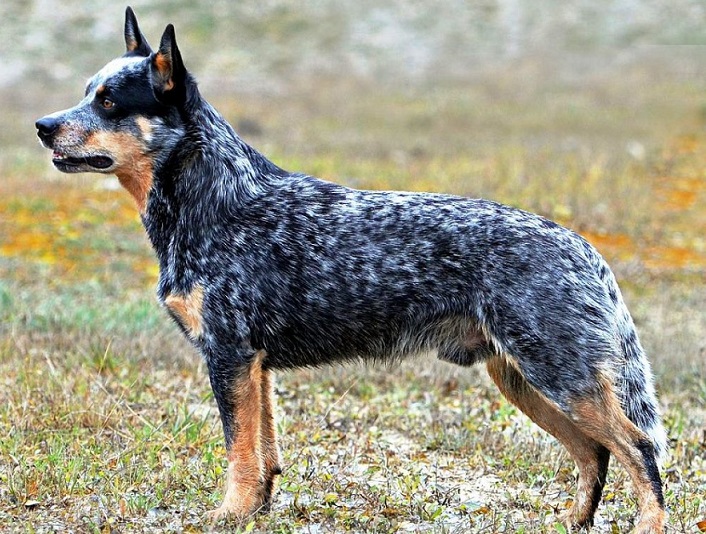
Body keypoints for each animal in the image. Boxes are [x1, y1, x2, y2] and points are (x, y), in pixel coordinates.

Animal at [36, 7, 667, 532]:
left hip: (561, 378)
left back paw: (648, 524)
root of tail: (584, 247)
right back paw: (572, 521)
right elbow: (262, 454)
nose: (42, 125)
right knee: (595, 452)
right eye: (86, 92)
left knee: (638, 448)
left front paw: (227, 515)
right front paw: (255, 512)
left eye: (110, 101)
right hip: (522, 379)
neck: (216, 201)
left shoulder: (230, 355)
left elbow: (239, 453)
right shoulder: (255, 365)